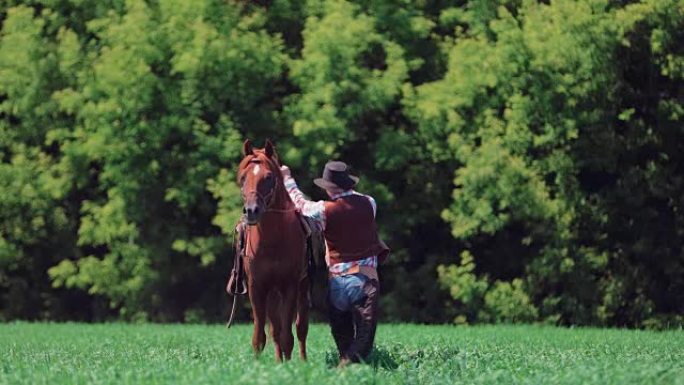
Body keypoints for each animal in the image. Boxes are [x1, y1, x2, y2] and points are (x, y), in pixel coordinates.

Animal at [236, 139, 308, 360]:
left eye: (268, 177)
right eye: (243, 178)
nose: (251, 211)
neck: (272, 241)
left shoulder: (290, 286)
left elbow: (288, 336)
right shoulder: (257, 287)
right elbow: (260, 336)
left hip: (301, 288)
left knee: (301, 328)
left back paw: (303, 361)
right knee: (274, 329)